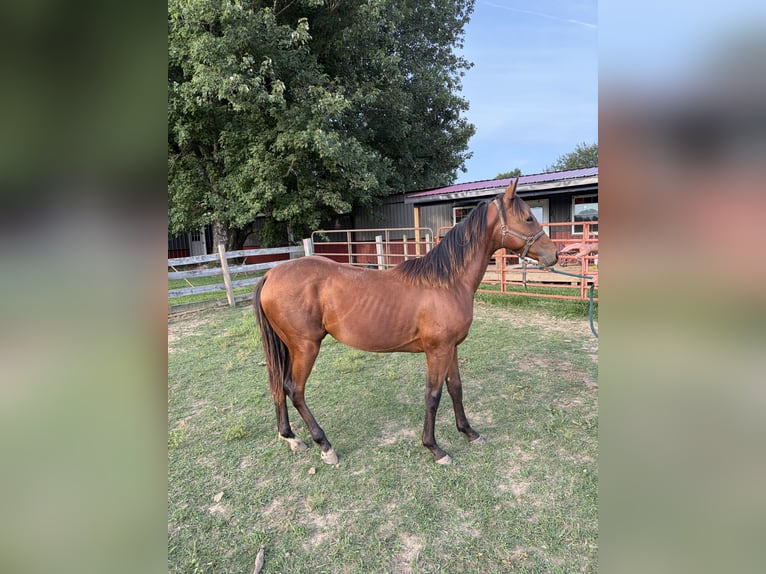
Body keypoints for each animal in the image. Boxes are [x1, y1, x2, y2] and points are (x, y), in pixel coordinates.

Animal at [254, 179, 558, 465]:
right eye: (528, 218)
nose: (553, 254)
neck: (446, 282)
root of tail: (271, 274)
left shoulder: (451, 348)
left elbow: (456, 389)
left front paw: (469, 432)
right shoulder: (437, 351)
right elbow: (433, 396)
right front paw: (434, 448)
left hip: (289, 347)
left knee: (279, 385)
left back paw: (291, 438)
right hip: (306, 347)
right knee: (295, 390)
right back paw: (325, 446)